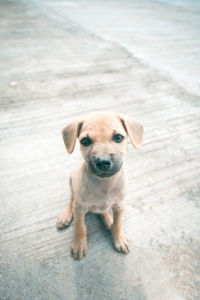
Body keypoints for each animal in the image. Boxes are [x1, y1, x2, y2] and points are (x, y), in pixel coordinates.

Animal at [56, 112, 144, 260]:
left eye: (118, 137)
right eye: (85, 141)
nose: (102, 162)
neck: (104, 184)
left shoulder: (120, 205)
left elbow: (118, 224)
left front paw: (119, 238)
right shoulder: (79, 209)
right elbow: (80, 227)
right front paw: (79, 244)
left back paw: (108, 220)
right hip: (72, 181)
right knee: (71, 199)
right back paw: (66, 215)